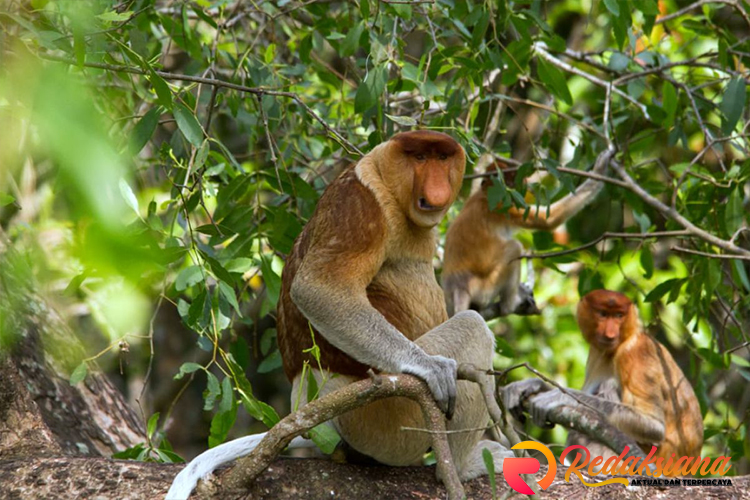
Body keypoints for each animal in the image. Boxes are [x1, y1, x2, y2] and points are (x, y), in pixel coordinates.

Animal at [167, 132, 516, 500]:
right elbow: (317, 288)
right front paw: (429, 365)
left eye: (443, 158)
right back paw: (463, 467)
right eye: (420, 157)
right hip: (381, 418)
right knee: (472, 327)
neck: (388, 182)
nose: (437, 187)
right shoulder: (361, 206)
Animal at [444, 148, 612, 318]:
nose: (513, 190)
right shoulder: (502, 208)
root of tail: (458, 287)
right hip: (484, 289)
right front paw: (600, 170)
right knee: (514, 247)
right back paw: (510, 304)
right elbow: (549, 220)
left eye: (512, 181)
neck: (484, 195)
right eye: (506, 184)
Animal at [506, 290, 704, 472]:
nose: (610, 334)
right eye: (602, 314)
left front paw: (555, 397)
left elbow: (654, 426)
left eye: (618, 315)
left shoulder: (635, 353)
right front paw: (530, 386)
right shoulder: (595, 352)